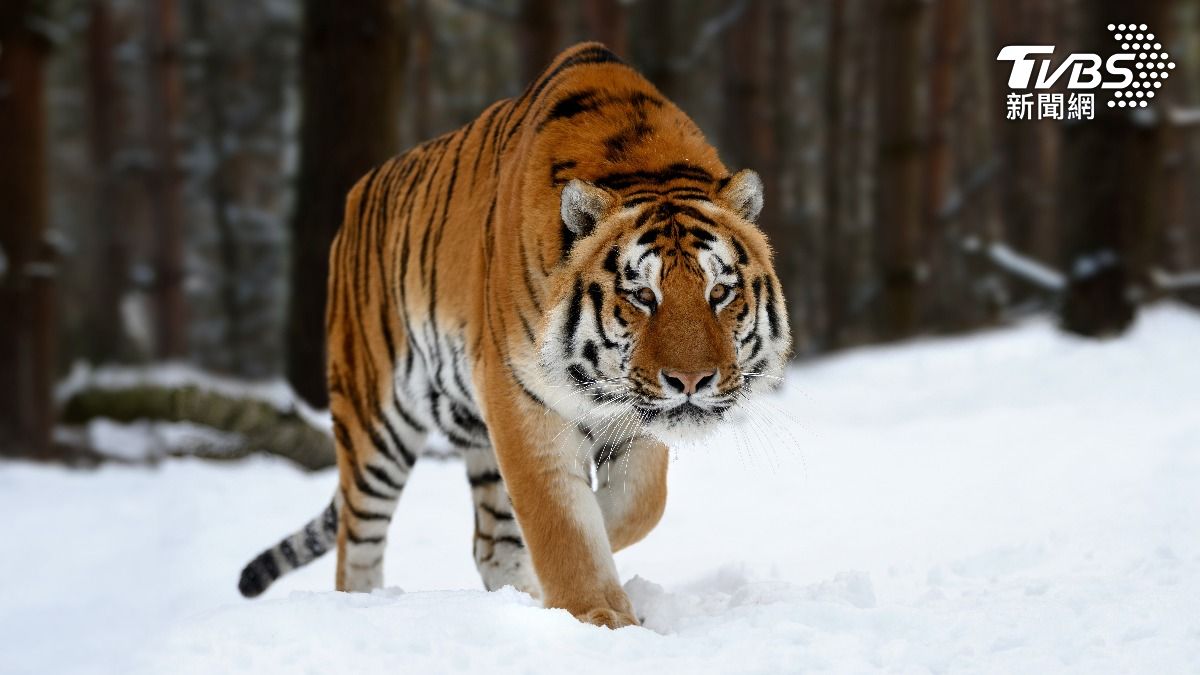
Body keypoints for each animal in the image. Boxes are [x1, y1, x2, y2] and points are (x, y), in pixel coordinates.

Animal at [237, 42, 790, 628]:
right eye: (642, 295)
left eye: (720, 292)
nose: (691, 381)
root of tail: (356, 197)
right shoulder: (520, 400)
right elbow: (562, 523)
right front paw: (600, 616)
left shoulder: (631, 418)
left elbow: (638, 502)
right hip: (374, 421)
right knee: (357, 546)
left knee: (489, 544)